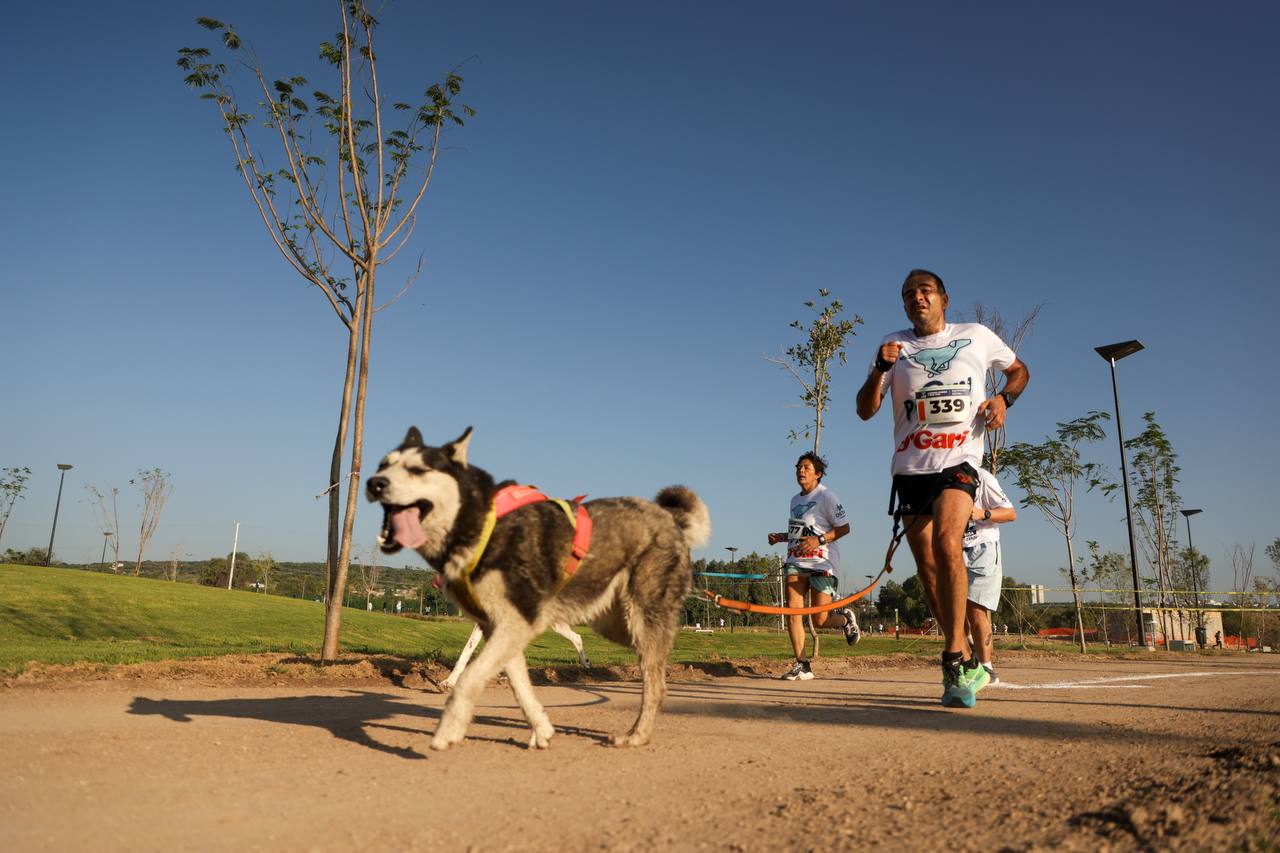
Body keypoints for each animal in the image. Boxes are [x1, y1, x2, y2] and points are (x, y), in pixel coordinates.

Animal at [366, 422, 711, 747]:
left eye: (419, 469)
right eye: (383, 464)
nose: (374, 483)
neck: (482, 527)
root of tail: (670, 519)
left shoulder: (512, 624)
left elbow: (471, 677)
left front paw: (448, 728)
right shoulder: (498, 628)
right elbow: (514, 684)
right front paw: (541, 729)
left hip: (636, 618)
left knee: (655, 681)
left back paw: (637, 734)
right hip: (614, 623)